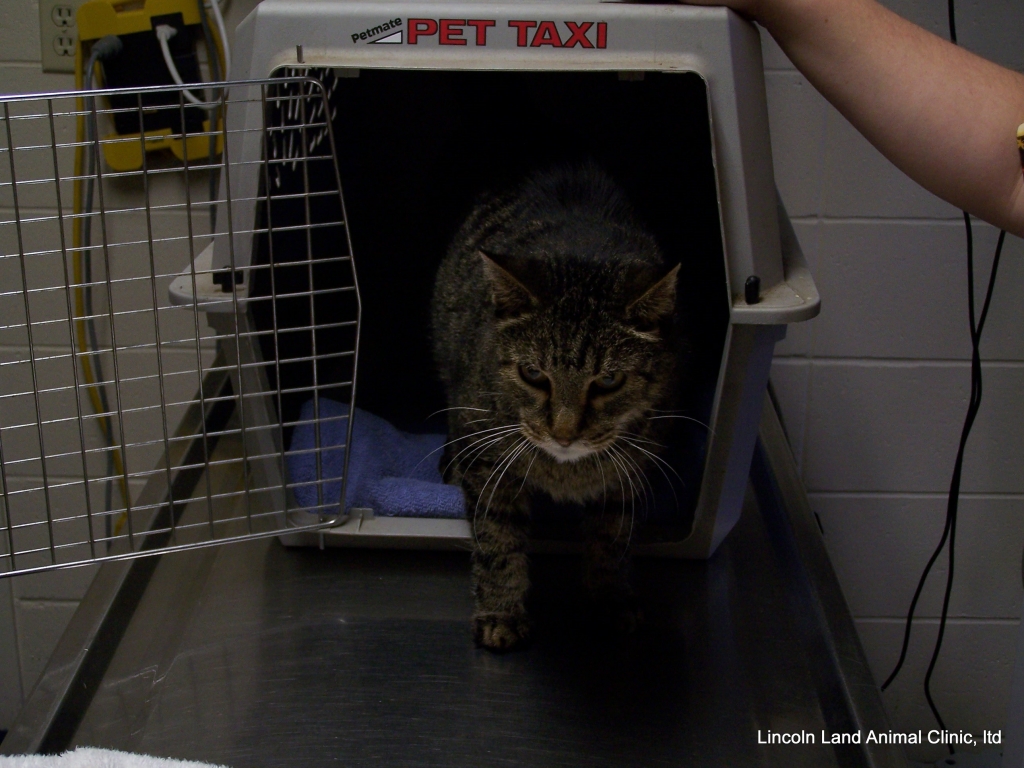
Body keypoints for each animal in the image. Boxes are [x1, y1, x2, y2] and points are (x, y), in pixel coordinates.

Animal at [428, 165, 684, 651]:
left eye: (608, 381)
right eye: (532, 374)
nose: (564, 434)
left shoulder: (629, 474)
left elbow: (611, 538)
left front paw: (610, 597)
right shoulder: (486, 461)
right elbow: (496, 540)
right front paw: (501, 612)